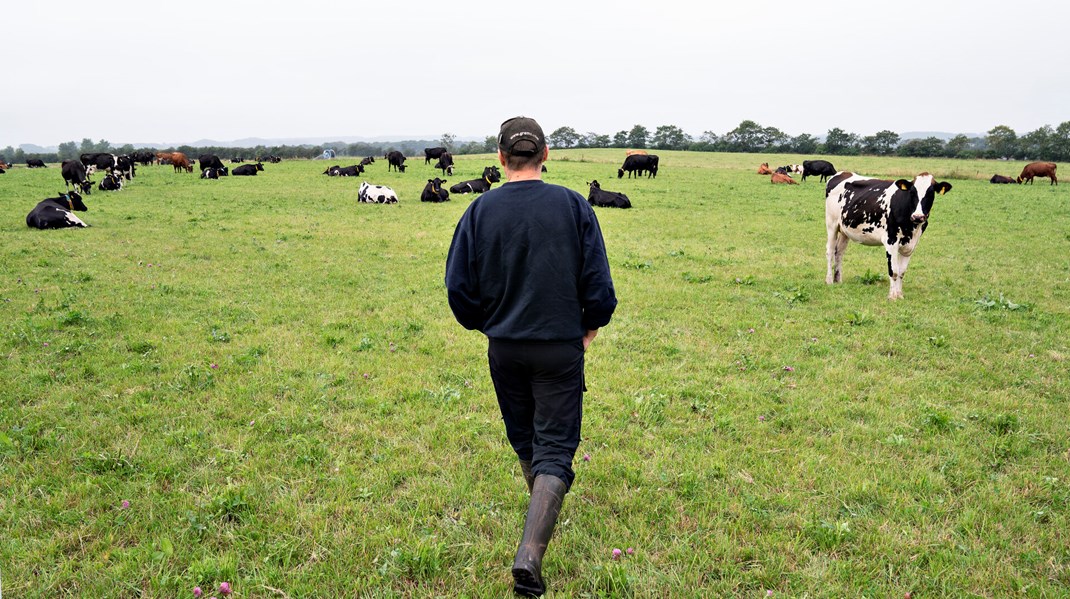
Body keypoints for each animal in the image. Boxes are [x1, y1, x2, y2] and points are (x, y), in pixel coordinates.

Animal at [821, 170, 950, 299]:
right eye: (912, 192)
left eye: (931, 193)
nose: (918, 217)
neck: (912, 228)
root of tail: (841, 173)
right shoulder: (891, 241)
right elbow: (894, 271)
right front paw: (892, 296)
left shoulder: (911, 245)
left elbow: (902, 272)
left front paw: (900, 295)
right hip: (831, 224)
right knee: (830, 251)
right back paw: (829, 280)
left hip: (845, 230)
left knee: (839, 252)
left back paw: (838, 280)